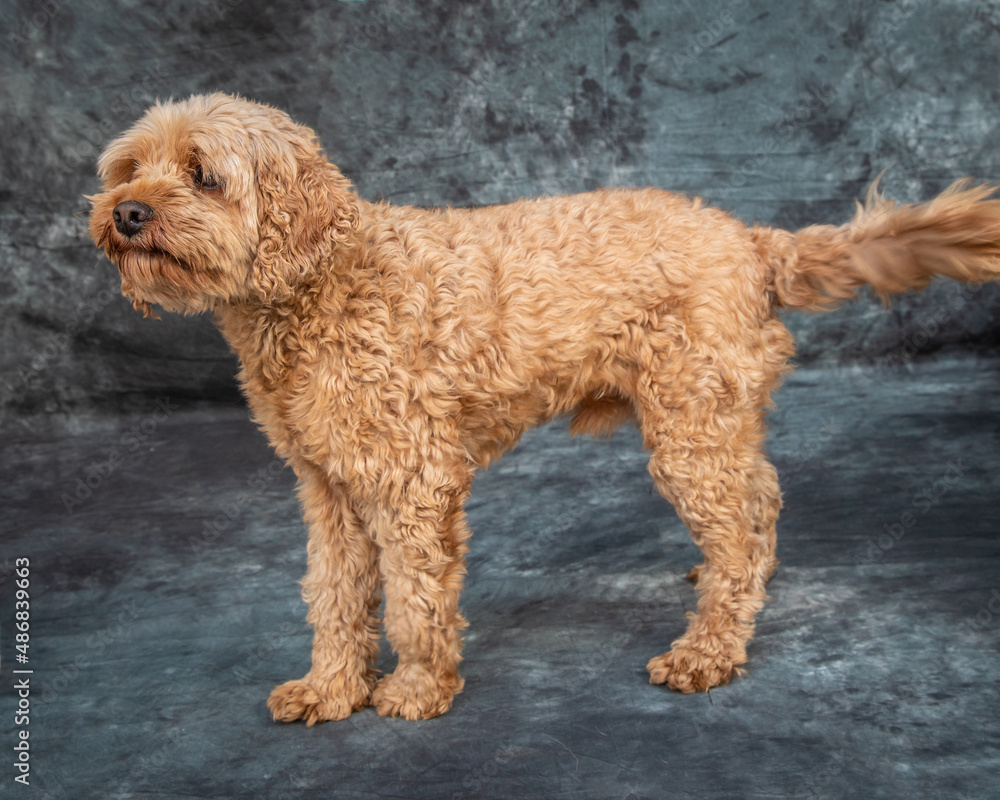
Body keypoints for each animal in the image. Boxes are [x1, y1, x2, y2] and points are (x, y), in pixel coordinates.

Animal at [90, 94, 996, 724]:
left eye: (203, 174)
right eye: (130, 169)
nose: (126, 213)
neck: (324, 283)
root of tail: (748, 239)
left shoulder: (413, 479)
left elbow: (415, 599)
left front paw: (416, 689)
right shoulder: (330, 487)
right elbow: (337, 596)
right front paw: (331, 688)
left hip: (689, 426)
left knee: (741, 527)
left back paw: (709, 645)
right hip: (717, 418)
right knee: (759, 500)